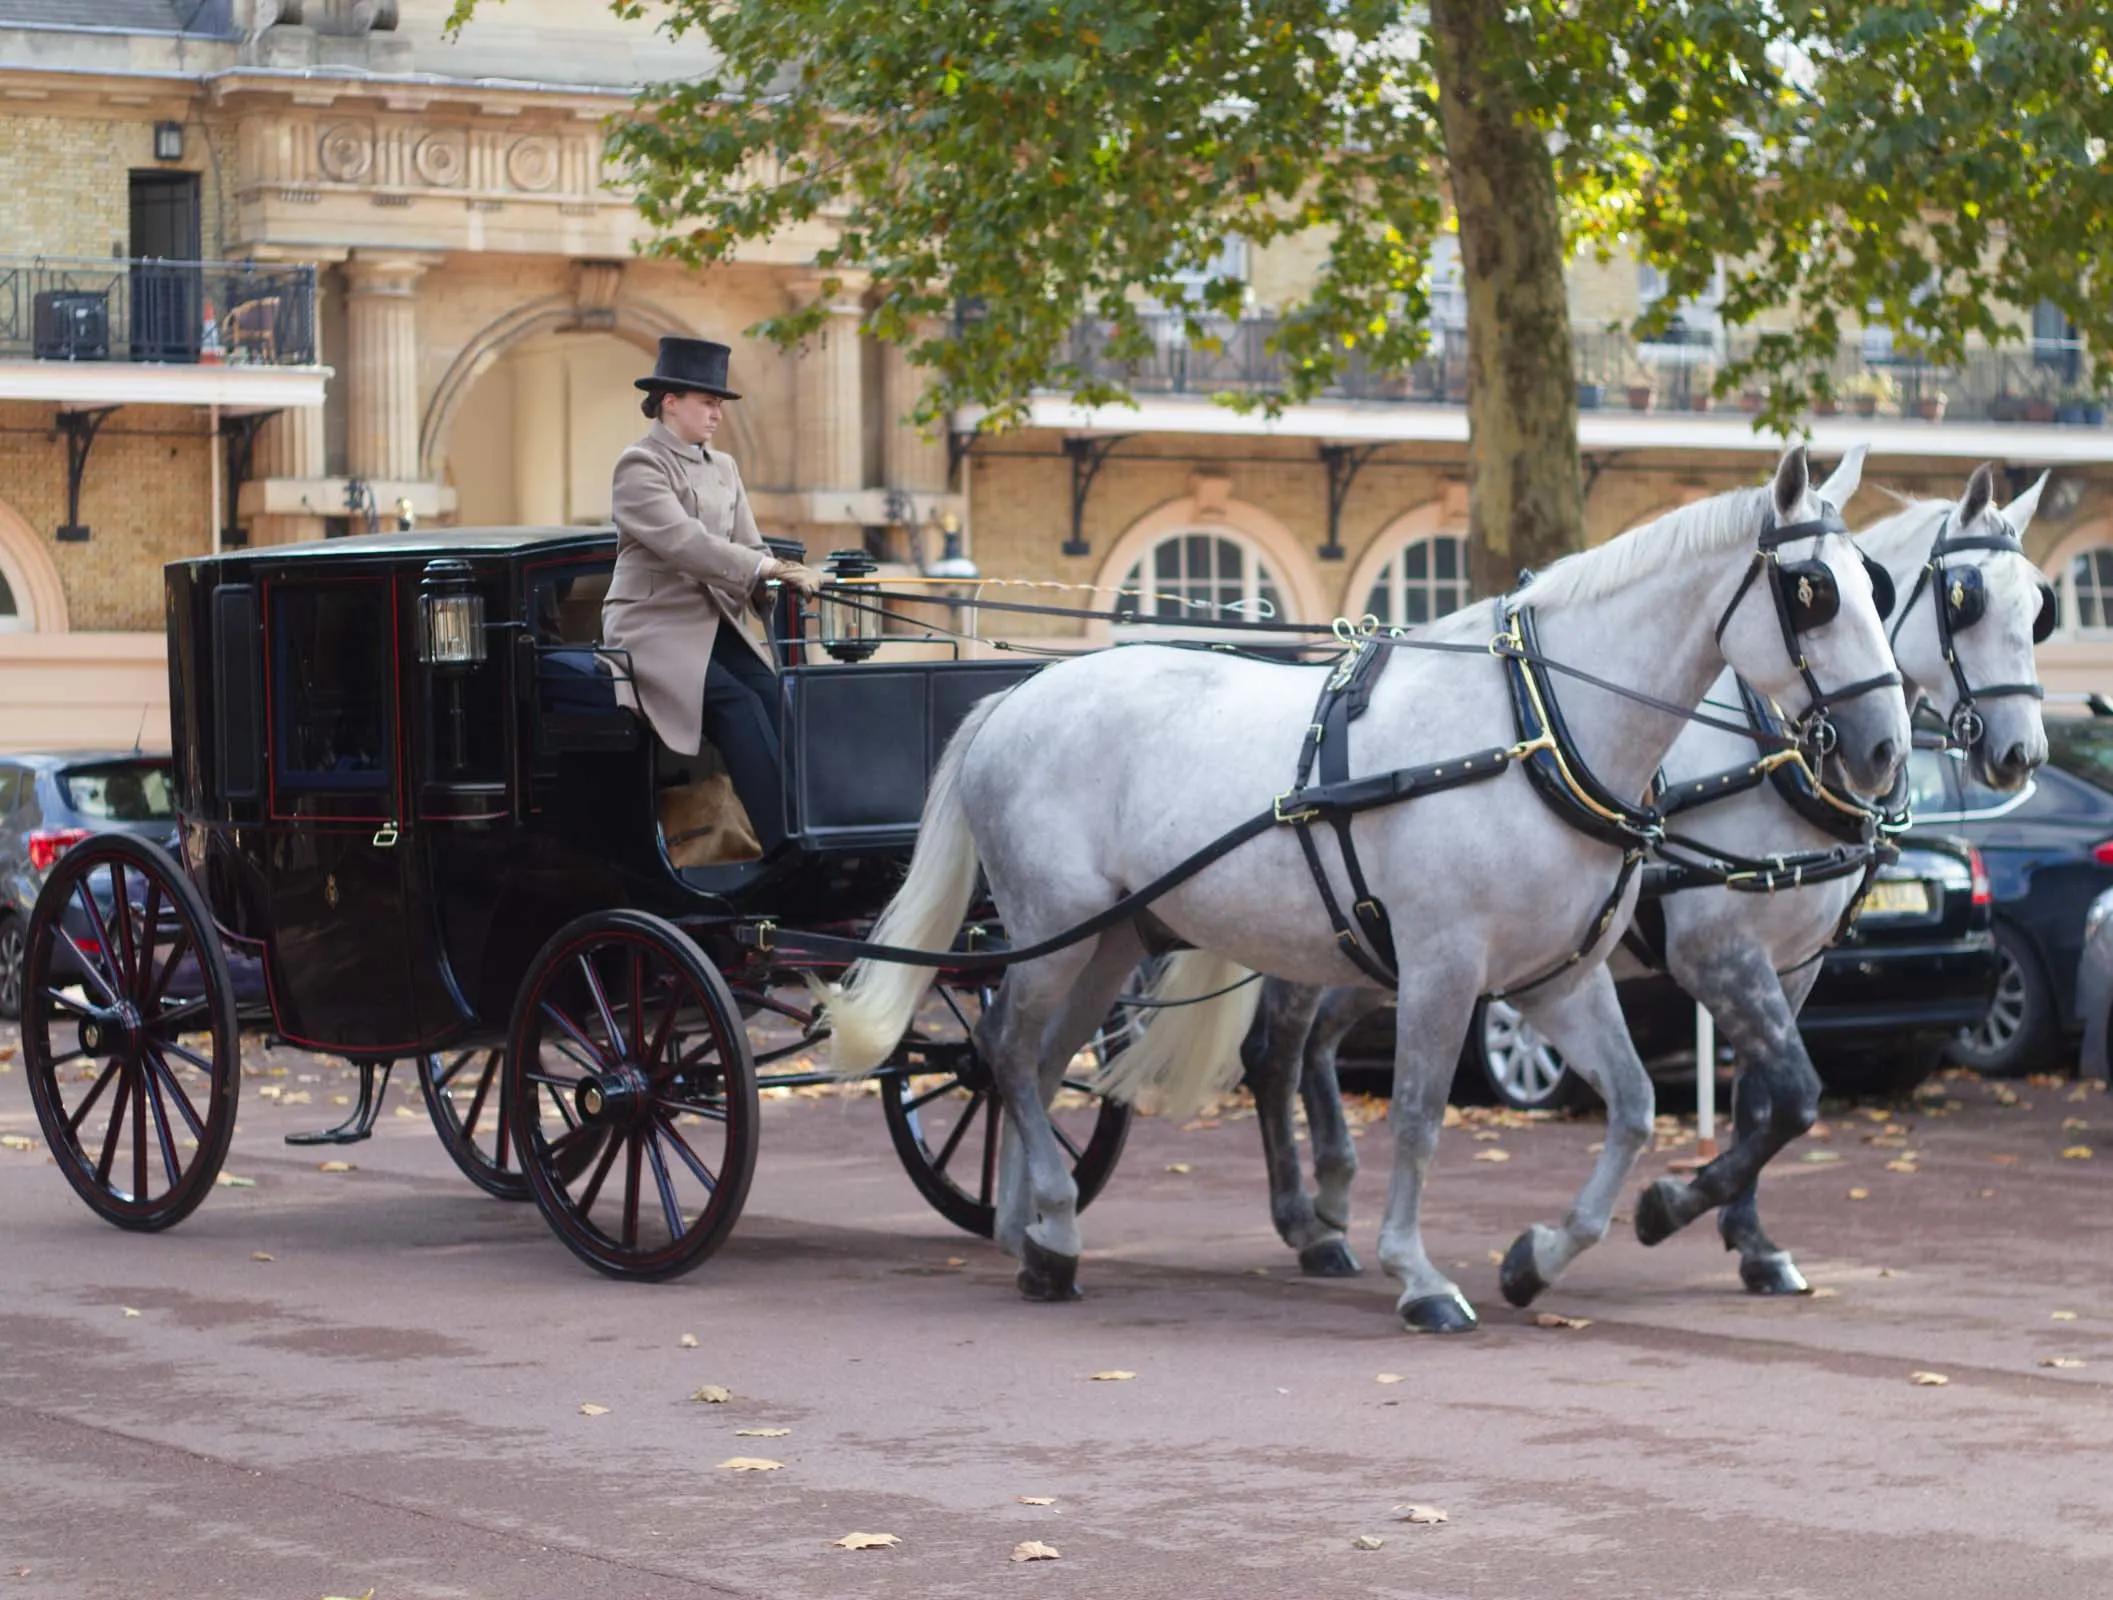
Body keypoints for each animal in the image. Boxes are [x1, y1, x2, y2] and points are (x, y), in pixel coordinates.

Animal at [824, 443, 1918, 1327]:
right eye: (1812, 591)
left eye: (1879, 589)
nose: (1882, 751)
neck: (1533, 729)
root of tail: (1016, 693)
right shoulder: (1450, 967)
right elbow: (1422, 1116)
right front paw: (1421, 1275)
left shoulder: (1559, 979)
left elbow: (1639, 1105)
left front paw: (1543, 1255)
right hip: (1059, 925)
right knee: (1010, 1051)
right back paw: (1058, 1230)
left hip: (1111, 938)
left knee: (1040, 1064)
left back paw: (1032, 1232)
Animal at [1233, 458, 2045, 1301]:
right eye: (1965, 600)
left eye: (2037, 608)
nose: (2020, 754)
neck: (1771, 756)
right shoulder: (1716, 951)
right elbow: (1793, 1097)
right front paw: (1665, 1208)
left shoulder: (1793, 965)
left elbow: (1761, 1102)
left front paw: (1751, 1242)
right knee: (1276, 1051)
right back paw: (1306, 1222)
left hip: (1383, 952)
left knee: (1319, 1043)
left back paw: (1331, 1199)